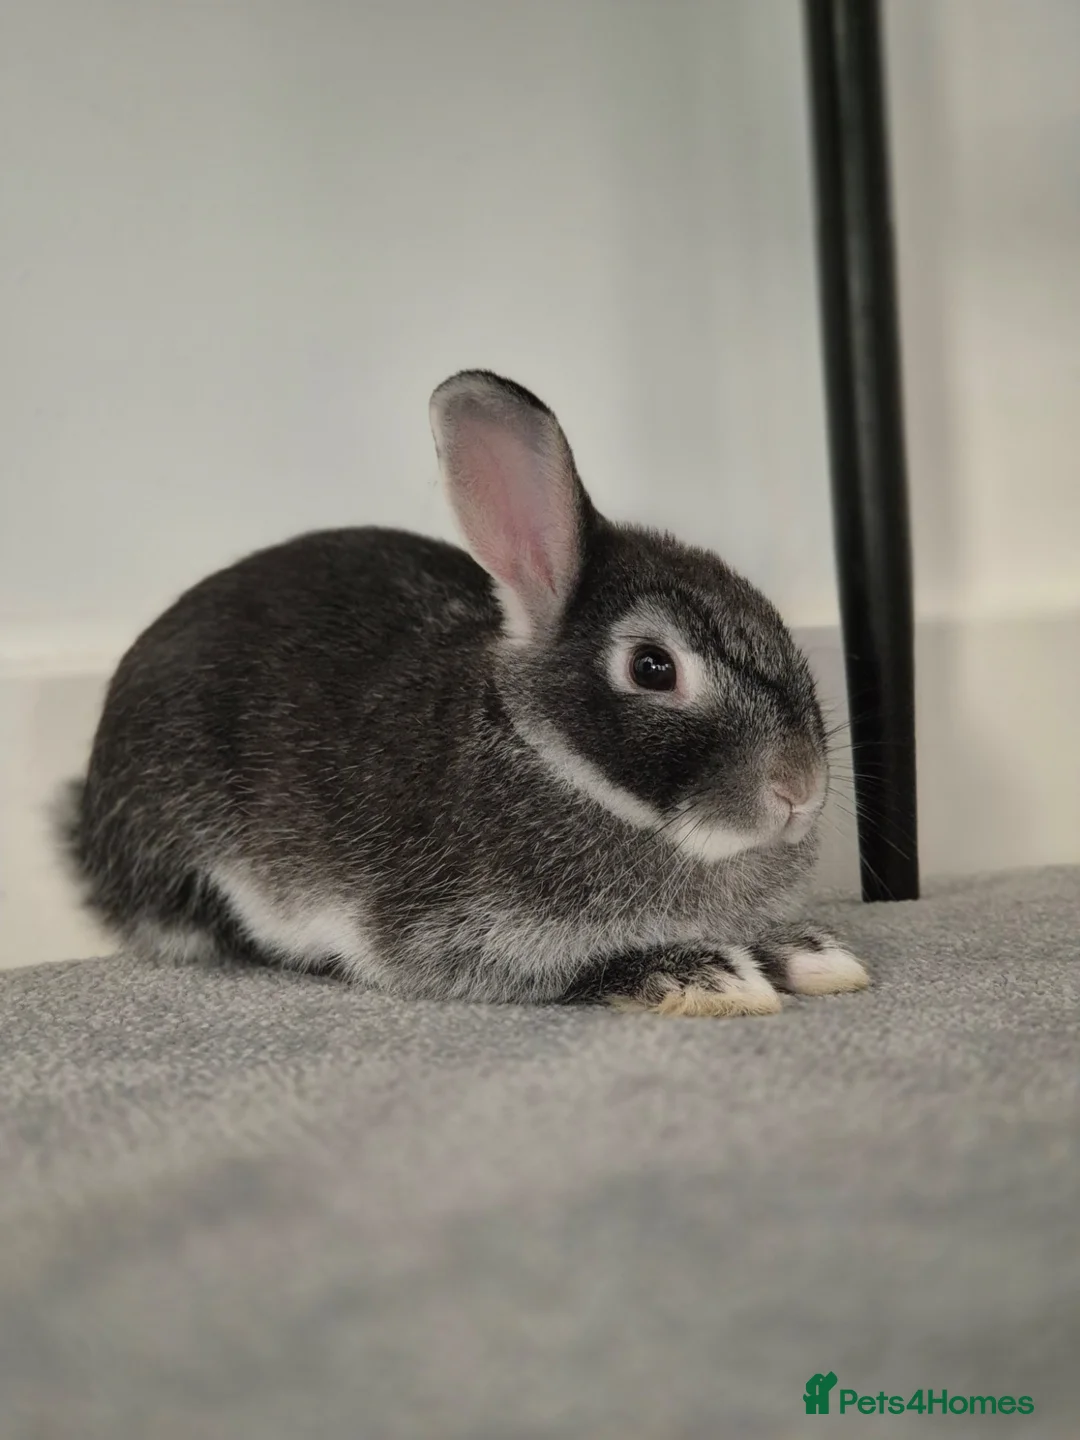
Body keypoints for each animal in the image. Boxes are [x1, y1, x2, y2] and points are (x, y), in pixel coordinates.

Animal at [60, 369, 868, 1016]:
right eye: (652, 667)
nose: (799, 788)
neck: (549, 757)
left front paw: (816, 957)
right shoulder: (469, 940)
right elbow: (577, 971)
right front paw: (711, 978)